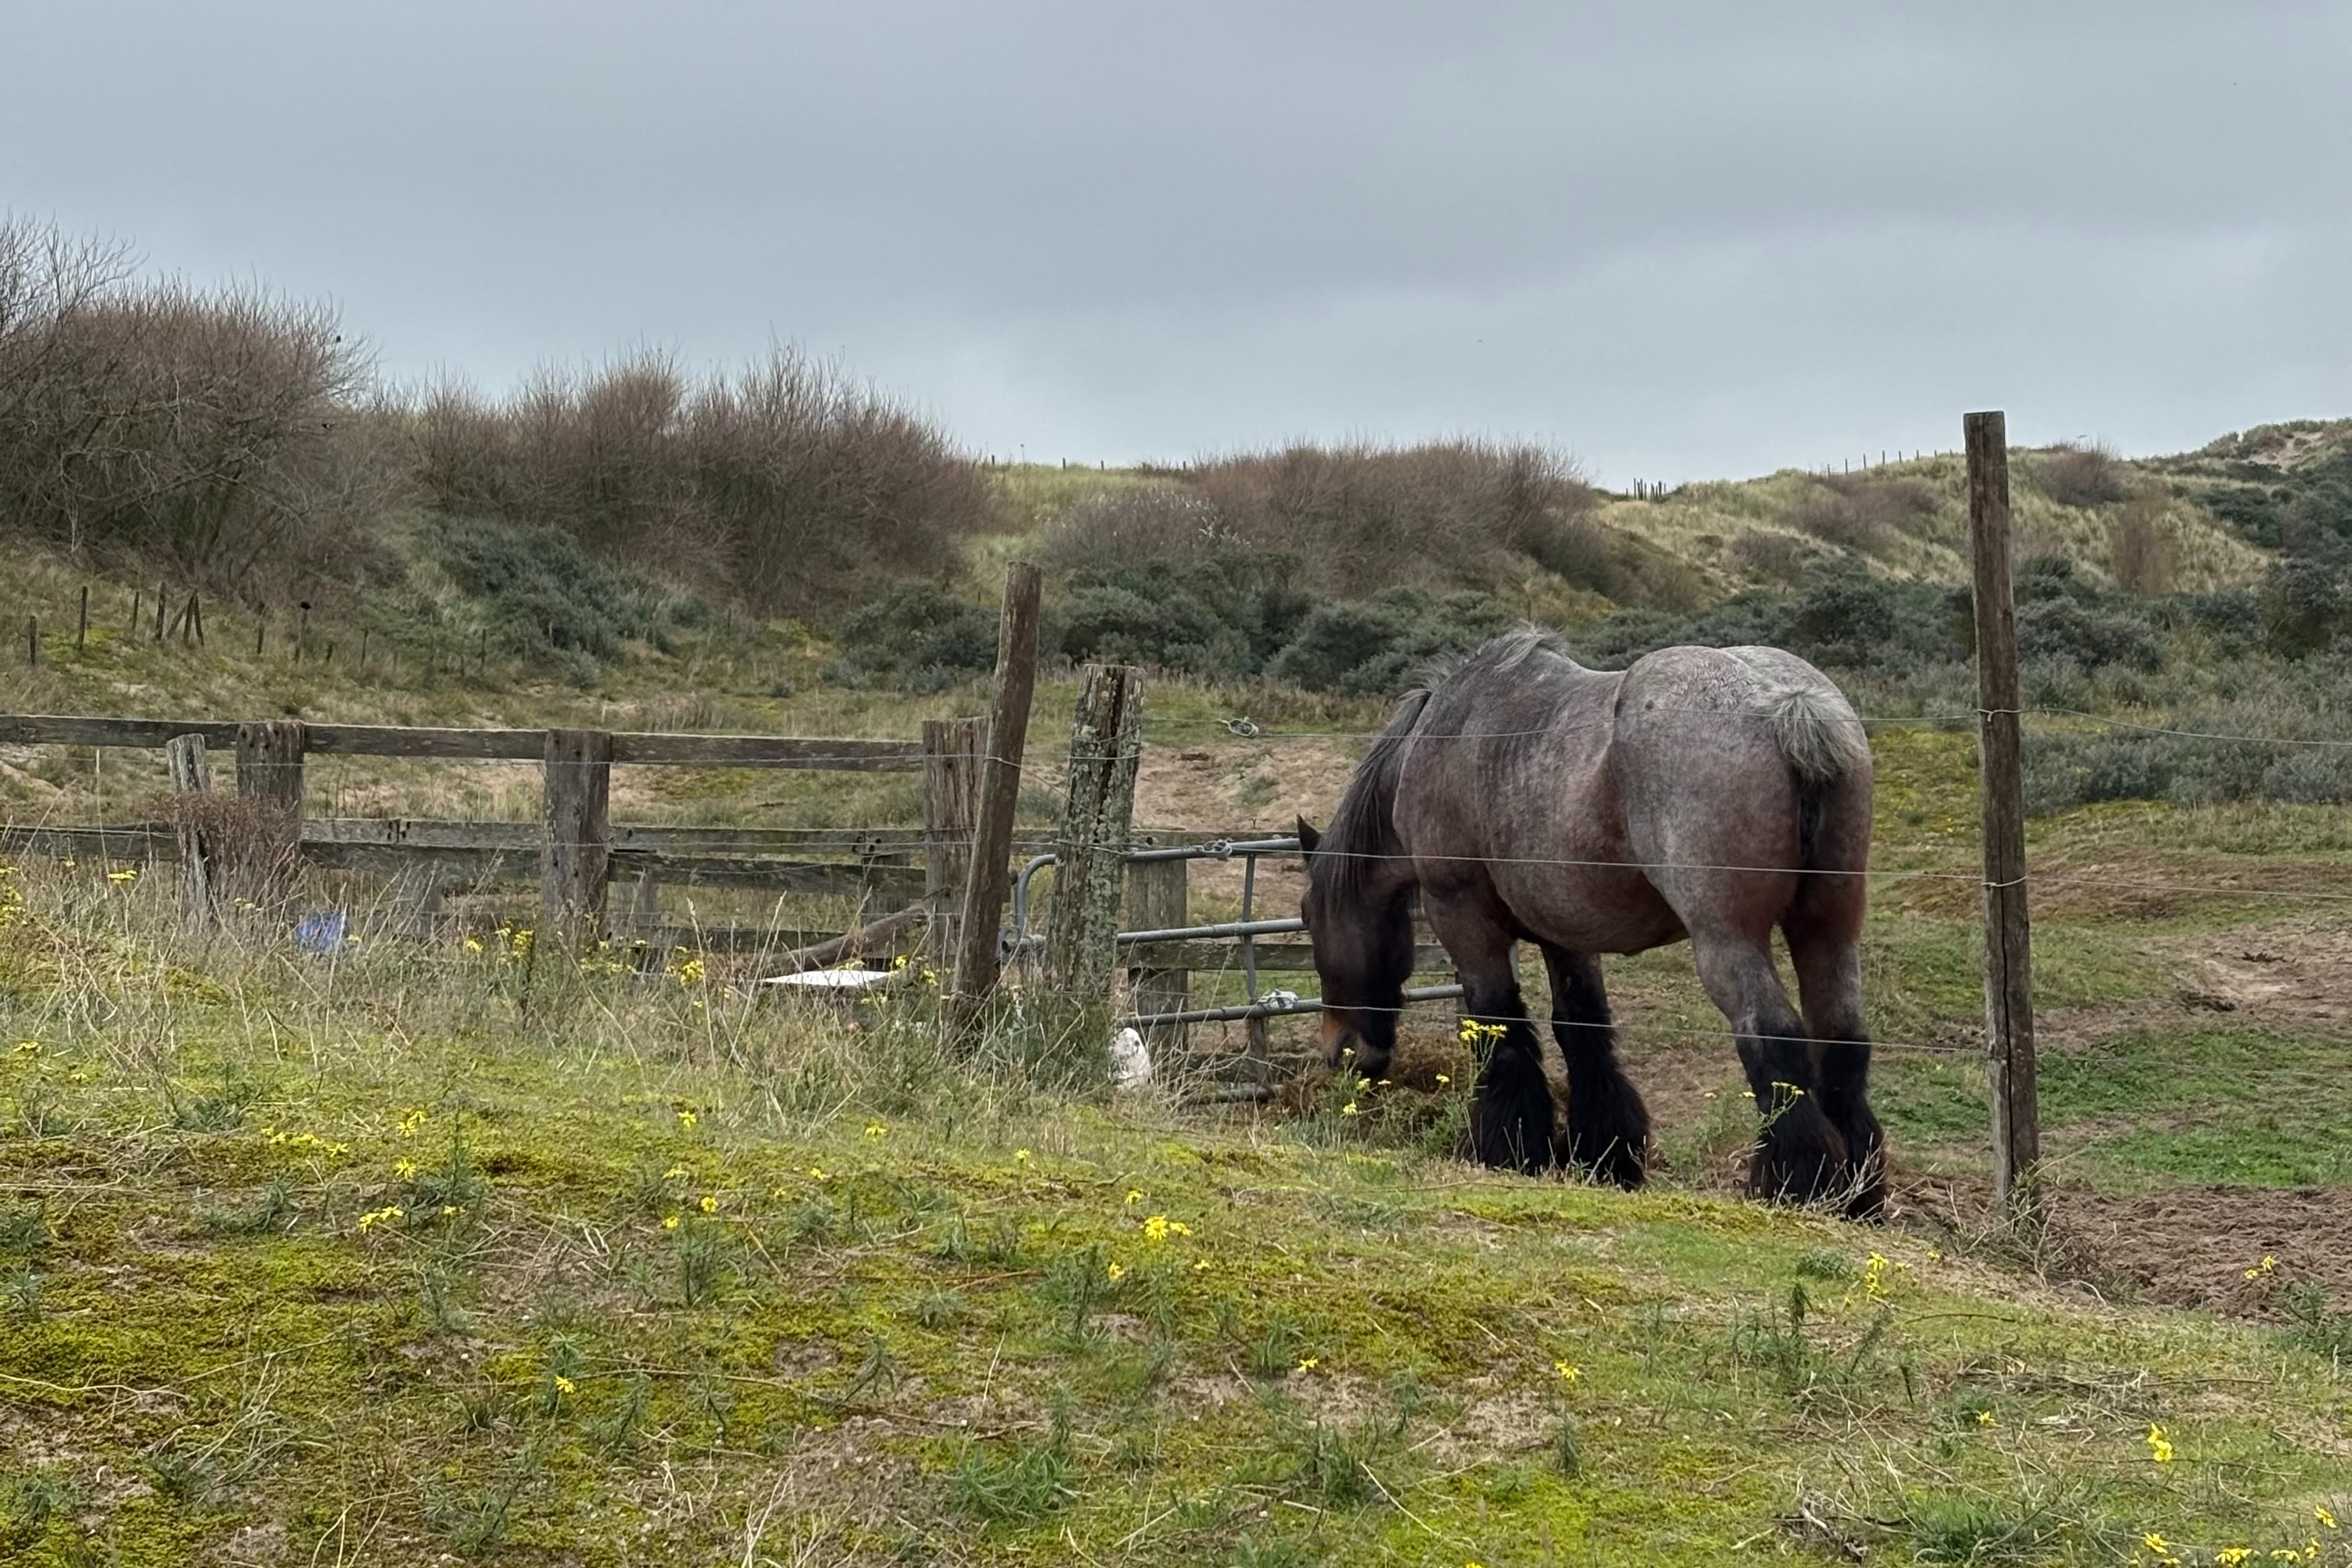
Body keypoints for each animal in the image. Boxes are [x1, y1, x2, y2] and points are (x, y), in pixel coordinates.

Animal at [1298, 630, 1881, 1222]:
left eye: (1308, 918)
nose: (1340, 1050)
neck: (1447, 736)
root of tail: (1785, 704)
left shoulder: (1462, 918)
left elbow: (1499, 1026)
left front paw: (1512, 1149)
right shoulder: (1567, 935)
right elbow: (1582, 1030)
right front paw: (1604, 1154)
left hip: (1728, 942)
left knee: (1774, 1040)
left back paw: (1798, 1184)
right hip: (1828, 933)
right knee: (1842, 1041)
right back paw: (1859, 1192)